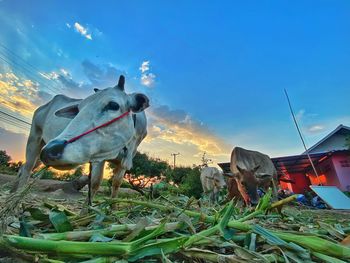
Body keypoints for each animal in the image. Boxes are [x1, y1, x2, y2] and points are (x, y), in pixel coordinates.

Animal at [12, 76, 148, 204]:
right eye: (78, 109)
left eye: (113, 105)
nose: (52, 150)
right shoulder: (99, 158)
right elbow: (94, 184)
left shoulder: (123, 163)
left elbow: (116, 184)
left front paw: (110, 209)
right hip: (34, 139)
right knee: (27, 168)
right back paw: (15, 198)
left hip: (42, 150)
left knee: (24, 167)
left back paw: (13, 192)